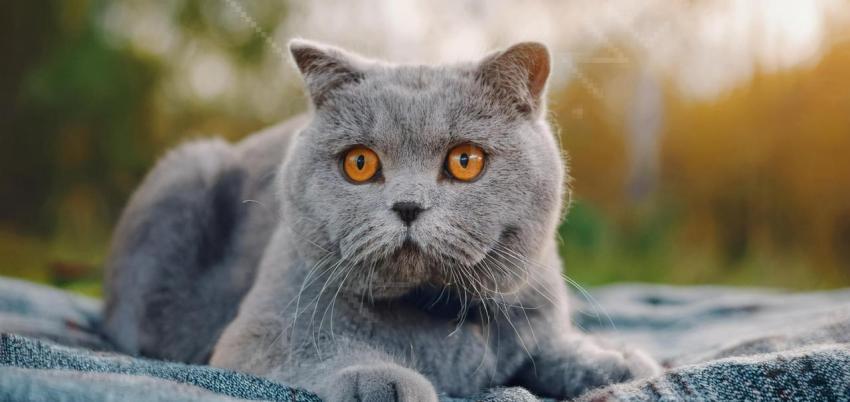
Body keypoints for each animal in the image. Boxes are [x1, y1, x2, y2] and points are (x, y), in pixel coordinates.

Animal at [102, 39, 660, 400]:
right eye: (360, 163)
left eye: (465, 160)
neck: (438, 309)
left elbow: (552, 351)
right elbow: (324, 350)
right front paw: (385, 381)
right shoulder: (267, 326)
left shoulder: (534, 316)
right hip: (186, 172)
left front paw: (616, 361)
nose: (408, 205)